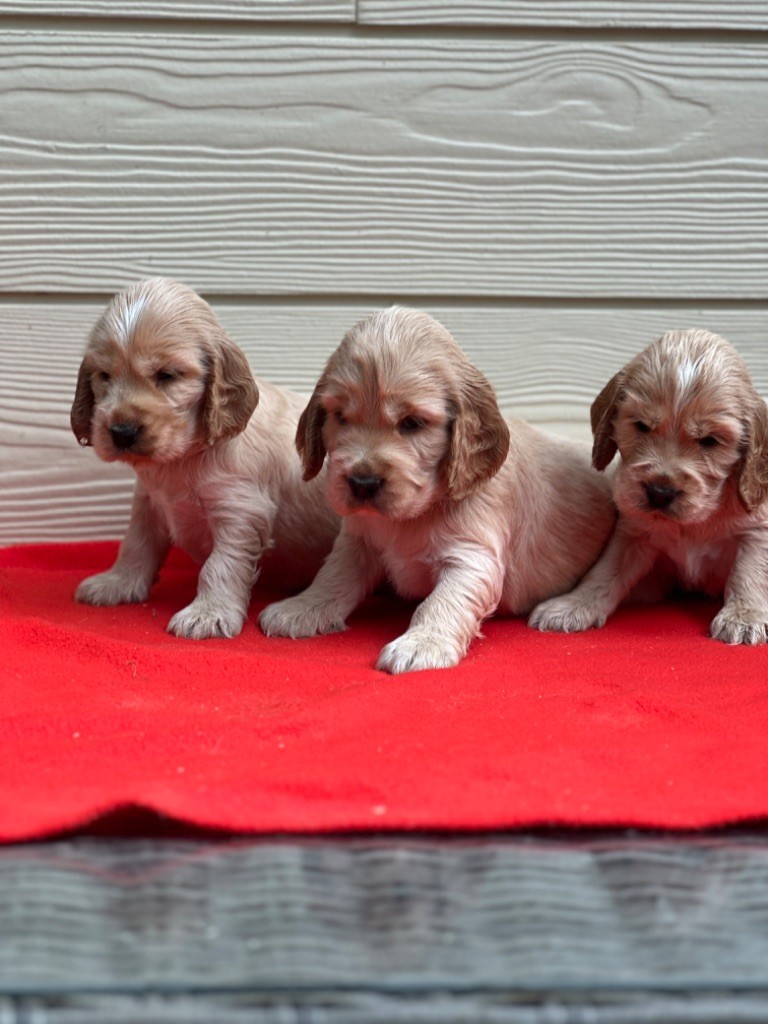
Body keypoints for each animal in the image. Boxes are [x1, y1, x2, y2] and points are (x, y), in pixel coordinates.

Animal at [70, 276, 339, 634]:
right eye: (104, 376)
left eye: (167, 375)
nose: (122, 432)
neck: (180, 460)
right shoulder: (149, 501)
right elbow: (136, 543)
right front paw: (117, 583)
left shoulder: (240, 510)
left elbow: (220, 565)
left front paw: (207, 614)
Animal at [262, 303, 618, 671]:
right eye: (340, 417)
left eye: (412, 423)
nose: (362, 483)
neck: (413, 515)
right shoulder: (357, 540)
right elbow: (333, 576)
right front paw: (302, 608)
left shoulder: (472, 556)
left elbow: (442, 601)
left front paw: (422, 643)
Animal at [532, 327, 768, 643]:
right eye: (641, 426)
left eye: (710, 441)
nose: (659, 492)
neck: (693, 523)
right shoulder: (634, 532)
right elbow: (605, 571)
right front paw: (573, 605)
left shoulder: (756, 532)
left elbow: (749, 574)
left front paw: (744, 617)